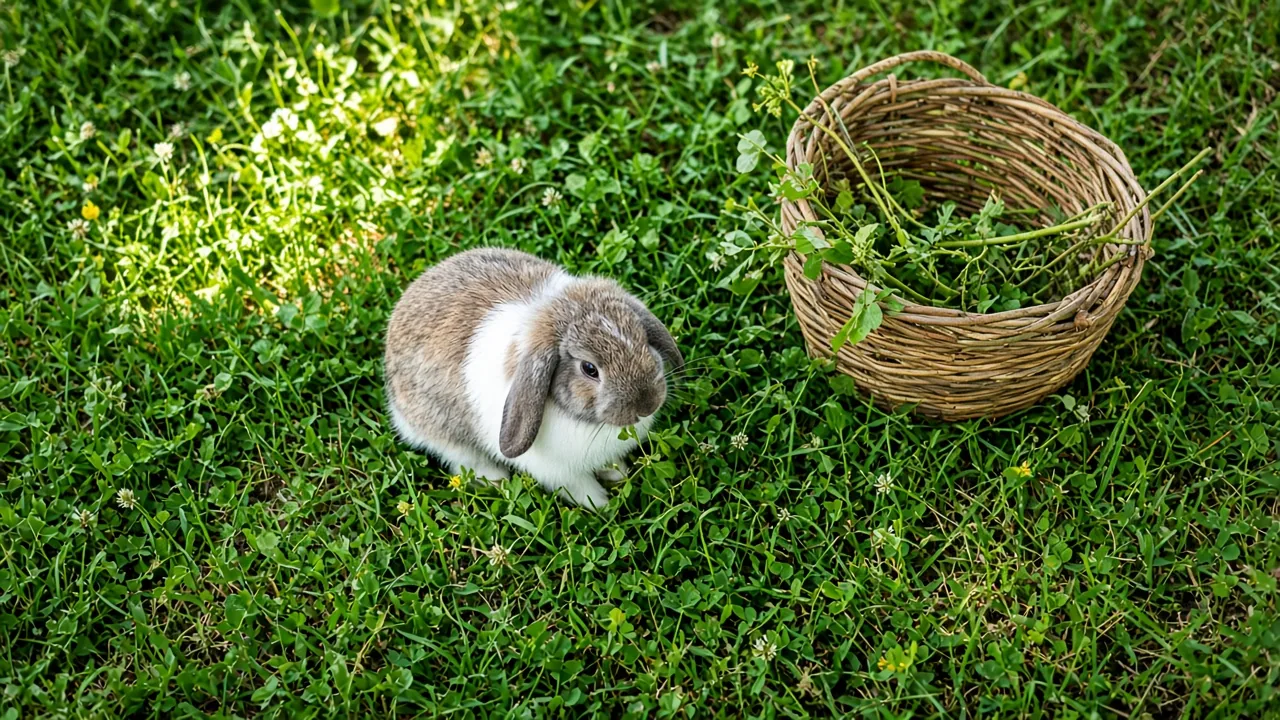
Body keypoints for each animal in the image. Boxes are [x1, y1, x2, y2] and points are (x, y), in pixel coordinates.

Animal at [383, 247, 683, 510]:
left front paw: (618, 474)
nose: (648, 404)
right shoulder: (560, 472)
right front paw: (601, 505)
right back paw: (496, 479)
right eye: (589, 368)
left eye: (642, 339)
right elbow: (580, 488)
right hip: (444, 434)